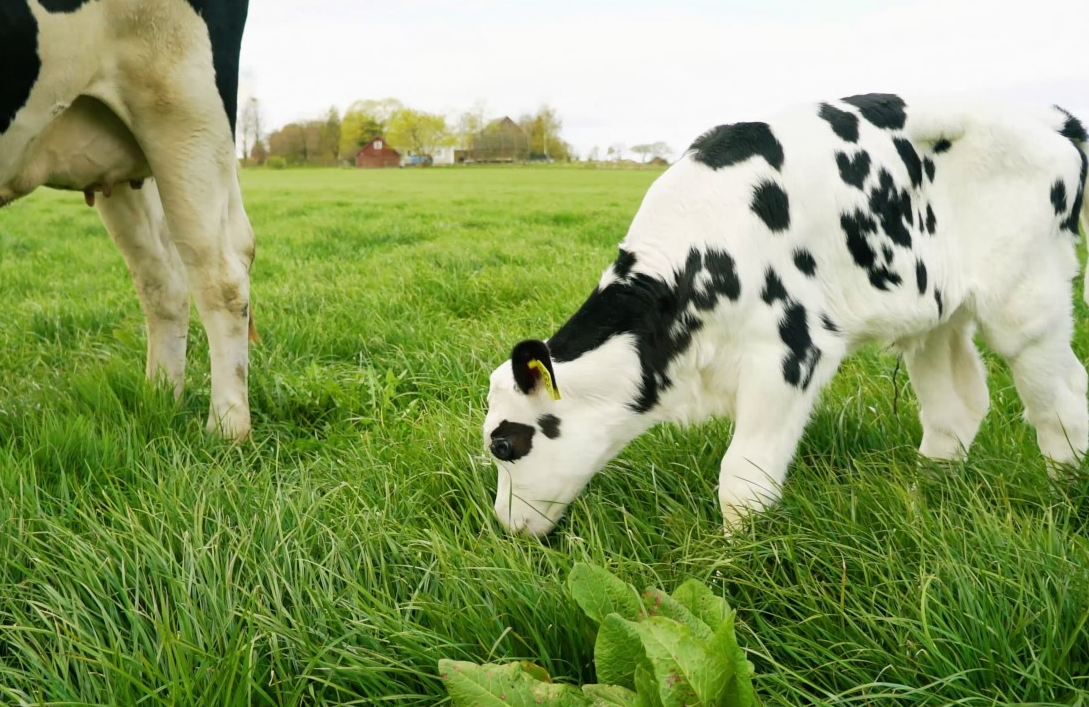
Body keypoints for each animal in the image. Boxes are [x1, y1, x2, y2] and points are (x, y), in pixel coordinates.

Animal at [1, 0, 254, 437]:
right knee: (163, 281)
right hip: (127, 152)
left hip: (186, 106)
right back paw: (159, 400)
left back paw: (225, 430)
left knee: (222, 277)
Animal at [485, 93, 1089, 535]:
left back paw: (1061, 494)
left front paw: (734, 563)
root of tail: (1048, 116)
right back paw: (926, 494)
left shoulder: (791, 351)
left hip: (1025, 298)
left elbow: (741, 482)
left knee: (1060, 399)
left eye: (504, 444)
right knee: (957, 406)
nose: (505, 526)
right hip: (936, 313)